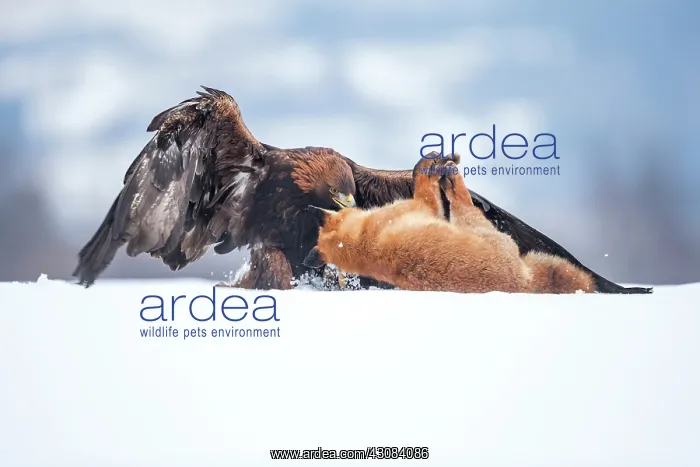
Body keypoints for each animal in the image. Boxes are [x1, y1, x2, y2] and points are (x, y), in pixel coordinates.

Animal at [302, 154, 596, 294]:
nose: (347, 203)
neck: (361, 241)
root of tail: (523, 285)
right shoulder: (423, 207)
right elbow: (426, 190)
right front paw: (425, 168)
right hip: (475, 223)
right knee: (461, 200)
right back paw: (450, 176)